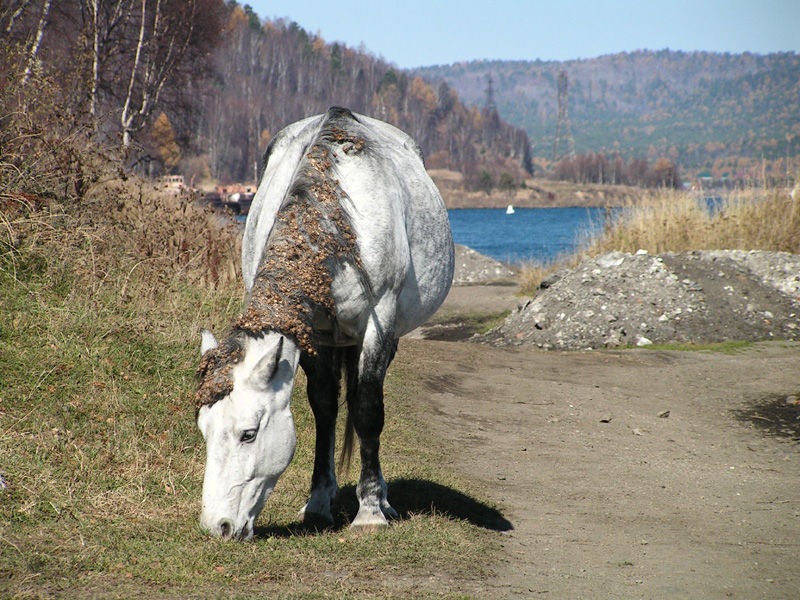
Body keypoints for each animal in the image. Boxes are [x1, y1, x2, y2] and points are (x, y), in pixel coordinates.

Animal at [196, 106, 454, 540]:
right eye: (204, 430)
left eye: (249, 433)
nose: (219, 526)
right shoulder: (312, 335)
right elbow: (323, 407)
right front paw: (318, 503)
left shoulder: (379, 322)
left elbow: (367, 410)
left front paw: (370, 511)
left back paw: (382, 499)